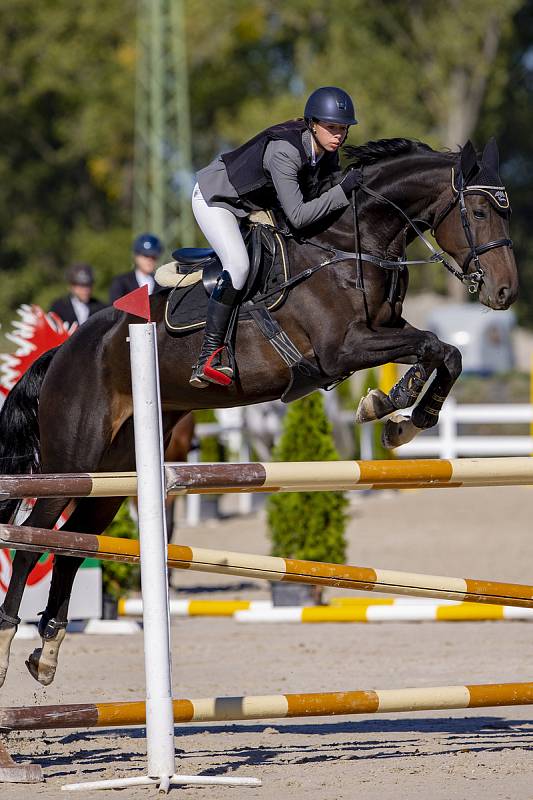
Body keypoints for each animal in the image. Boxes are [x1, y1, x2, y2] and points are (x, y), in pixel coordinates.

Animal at [0, 136, 516, 688]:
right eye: (479, 211)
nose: (505, 293)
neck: (347, 243)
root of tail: (65, 349)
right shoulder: (342, 349)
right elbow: (433, 345)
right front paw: (394, 407)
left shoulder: (382, 331)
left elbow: (443, 351)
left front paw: (402, 416)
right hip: (72, 462)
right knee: (33, 541)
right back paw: (9, 643)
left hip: (114, 474)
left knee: (76, 544)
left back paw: (48, 652)